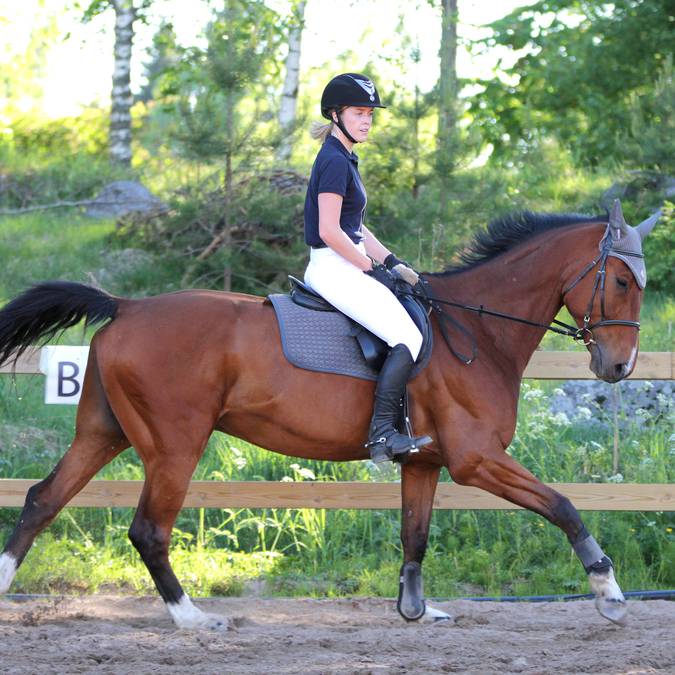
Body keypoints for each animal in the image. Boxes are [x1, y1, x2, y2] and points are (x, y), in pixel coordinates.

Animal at [0, 201, 656, 628]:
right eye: (623, 280)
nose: (619, 367)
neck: (479, 331)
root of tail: (127, 307)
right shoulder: (477, 460)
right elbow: (563, 505)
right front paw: (608, 590)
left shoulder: (426, 462)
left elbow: (415, 535)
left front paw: (415, 609)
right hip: (175, 445)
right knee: (147, 530)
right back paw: (192, 618)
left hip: (104, 432)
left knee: (41, 498)